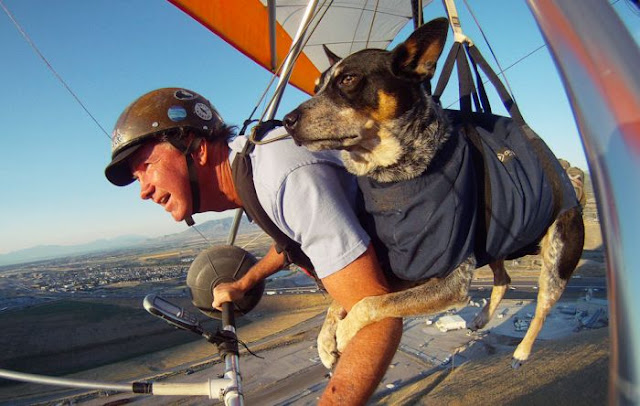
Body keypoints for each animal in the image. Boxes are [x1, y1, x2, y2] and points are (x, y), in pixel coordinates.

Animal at [284, 17, 584, 370]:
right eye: (317, 86)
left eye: (348, 79)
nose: (287, 120)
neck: (394, 176)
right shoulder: (406, 266)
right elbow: (348, 300)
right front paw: (325, 340)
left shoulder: (449, 278)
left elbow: (373, 303)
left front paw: (344, 332)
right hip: (494, 237)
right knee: (504, 277)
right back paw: (482, 318)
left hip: (557, 259)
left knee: (542, 305)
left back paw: (522, 351)